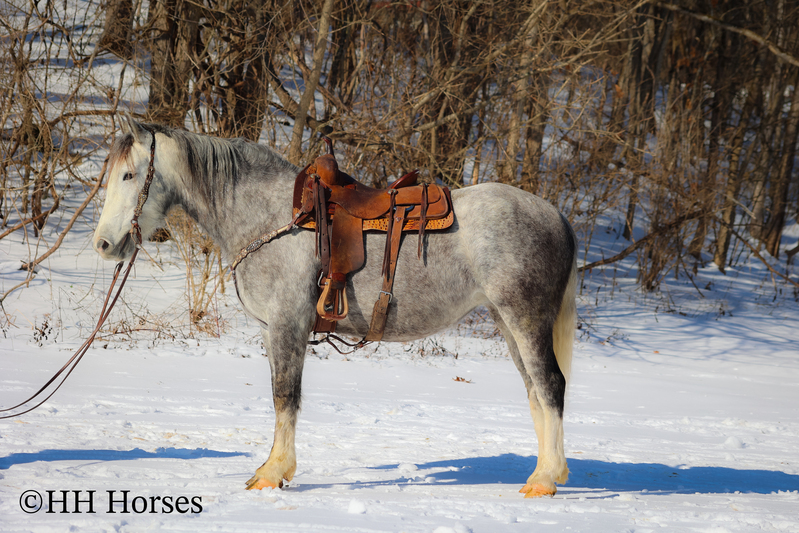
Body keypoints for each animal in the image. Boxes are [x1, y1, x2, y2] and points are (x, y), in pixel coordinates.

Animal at [94, 114, 580, 496]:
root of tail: (556, 216)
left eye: (129, 176)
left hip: (525, 318)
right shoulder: (273, 329)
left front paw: (273, 473)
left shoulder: (287, 324)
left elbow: (285, 396)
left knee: (550, 385)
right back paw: (544, 472)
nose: (103, 245)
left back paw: (545, 480)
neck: (275, 218)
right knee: (535, 392)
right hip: (507, 321)